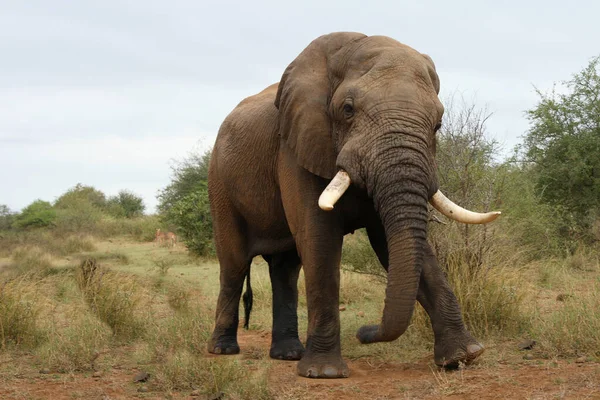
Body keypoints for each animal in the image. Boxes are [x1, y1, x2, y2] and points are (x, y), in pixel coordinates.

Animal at [206, 32, 502, 378]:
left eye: (439, 124)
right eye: (348, 110)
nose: (364, 333)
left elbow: (398, 246)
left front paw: (463, 356)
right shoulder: (296, 146)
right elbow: (319, 238)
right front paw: (324, 373)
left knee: (285, 270)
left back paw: (288, 355)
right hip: (219, 182)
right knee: (234, 263)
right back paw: (224, 350)